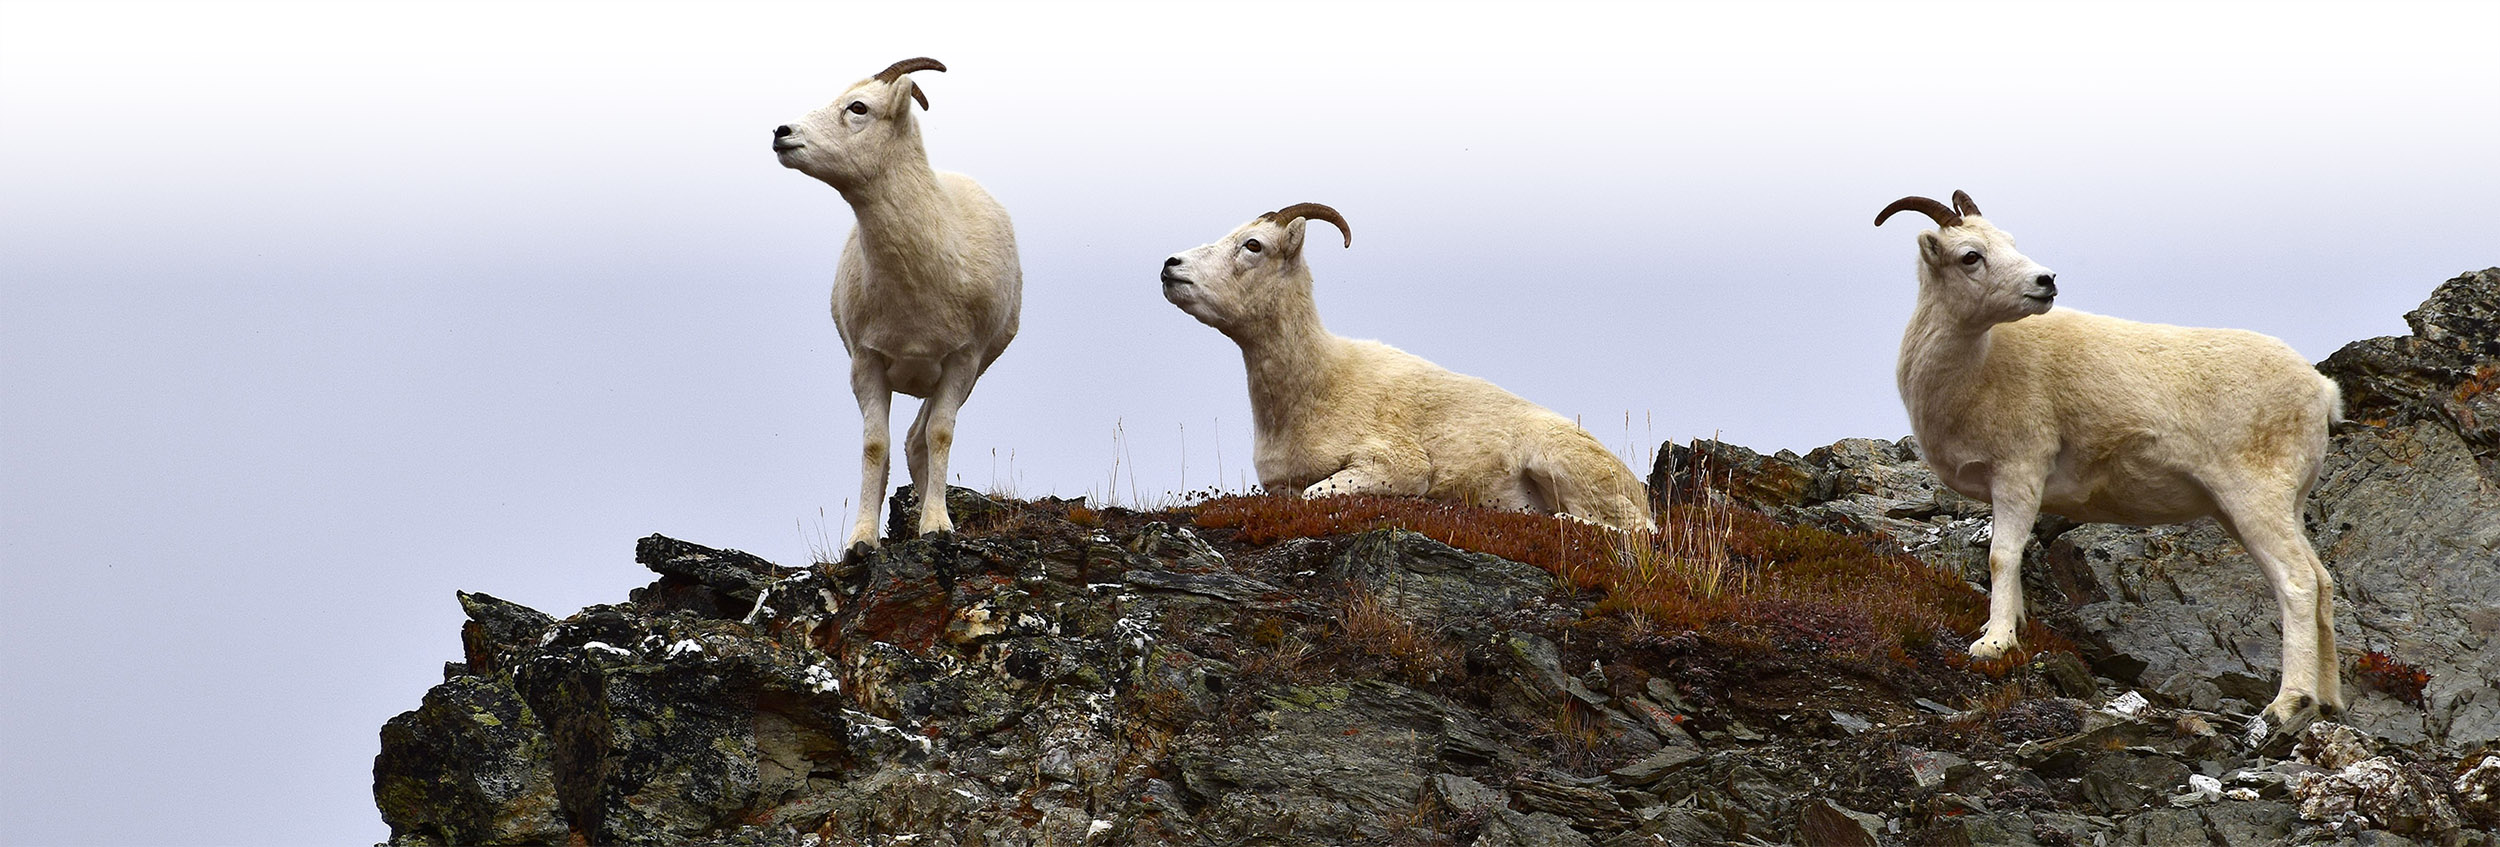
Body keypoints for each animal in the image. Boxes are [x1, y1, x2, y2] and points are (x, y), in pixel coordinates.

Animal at [773, 57, 1022, 550]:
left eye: (858, 107)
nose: (782, 133)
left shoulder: (962, 360)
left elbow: (939, 436)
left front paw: (936, 527)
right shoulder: (866, 363)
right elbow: (876, 445)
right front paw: (861, 541)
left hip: (969, 376)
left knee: (920, 439)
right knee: (906, 441)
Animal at [1159, 203, 1654, 531]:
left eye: (1253, 245)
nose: (1171, 266)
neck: (1318, 387)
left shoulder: (1396, 465)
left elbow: (1316, 494)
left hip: (1559, 464)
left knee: (1624, 529)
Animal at [1875, 190, 2345, 739]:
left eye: (2008, 242)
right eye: (1972, 255)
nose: (2046, 281)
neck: (1975, 370)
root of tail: (2321, 392)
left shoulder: (2019, 472)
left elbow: (2001, 557)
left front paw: (1992, 644)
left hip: (2256, 500)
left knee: (2297, 584)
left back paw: (2287, 704)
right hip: (2269, 509)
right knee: (2321, 582)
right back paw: (2329, 703)